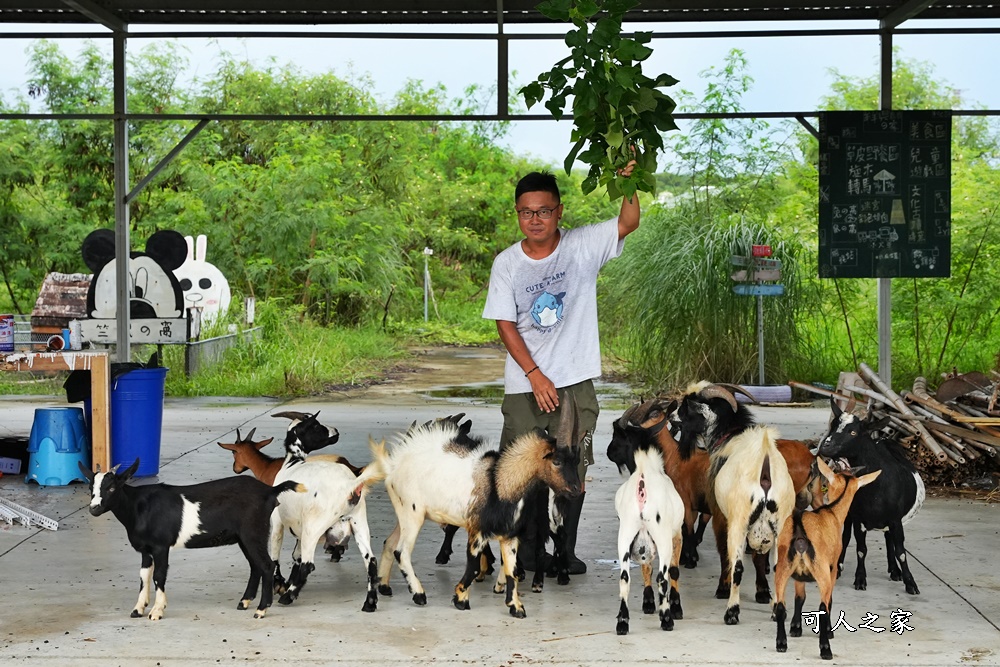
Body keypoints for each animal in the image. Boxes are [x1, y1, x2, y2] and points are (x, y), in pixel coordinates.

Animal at [77, 460, 302, 620]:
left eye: (112, 488)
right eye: (90, 488)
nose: (94, 509)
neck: (139, 507)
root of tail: (270, 491)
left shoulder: (160, 546)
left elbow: (159, 576)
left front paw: (157, 611)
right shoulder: (145, 550)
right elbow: (144, 576)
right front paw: (138, 609)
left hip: (253, 532)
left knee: (266, 565)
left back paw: (261, 610)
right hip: (243, 537)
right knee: (255, 565)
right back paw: (244, 602)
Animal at [372, 400, 584, 620]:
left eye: (577, 460)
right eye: (556, 461)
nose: (576, 490)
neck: (501, 481)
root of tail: (395, 464)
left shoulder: (509, 535)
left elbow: (511, 570)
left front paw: (516, 607)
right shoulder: (477, 531)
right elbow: (473, 567)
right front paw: (461, 599)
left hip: (404, 514)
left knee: (390, 543)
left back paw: (385, 586)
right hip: (412, 514)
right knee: (401, 551)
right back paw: (419, 594)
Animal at [608, 410, 688, 636]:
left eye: (616, 437)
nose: (609, 452)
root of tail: (642, 484)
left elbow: (646, 568)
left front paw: (649, 604)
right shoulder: (677, 533)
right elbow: (673, 570)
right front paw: (674, 608)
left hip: (625, 534)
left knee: (624, 577)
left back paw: (622, 623)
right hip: (662, 536)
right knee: (663, 576)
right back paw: (667, 619)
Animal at [776, 462, 880, 660]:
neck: (832, 511)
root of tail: (800, 529)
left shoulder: (799, 574)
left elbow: (799, 597)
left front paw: (795, 627)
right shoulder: (832, 568)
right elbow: (829, 600)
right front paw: (830, 631)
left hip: (783, 568)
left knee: (780, 605)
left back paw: (781, 644)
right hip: (821, 571)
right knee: (823, 606)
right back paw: (825, 649)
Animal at [816, 400, 924, 596]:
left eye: (853, 432)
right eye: (833, 426)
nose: (825, 447)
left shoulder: (895, 520)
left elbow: (900, 551)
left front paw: (910, 583)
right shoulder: (859, 519)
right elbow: (861, 550)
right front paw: (860, 579)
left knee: (889, 540)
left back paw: (894, 571)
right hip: (849, 514)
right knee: (845, 537)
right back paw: (839, 567)